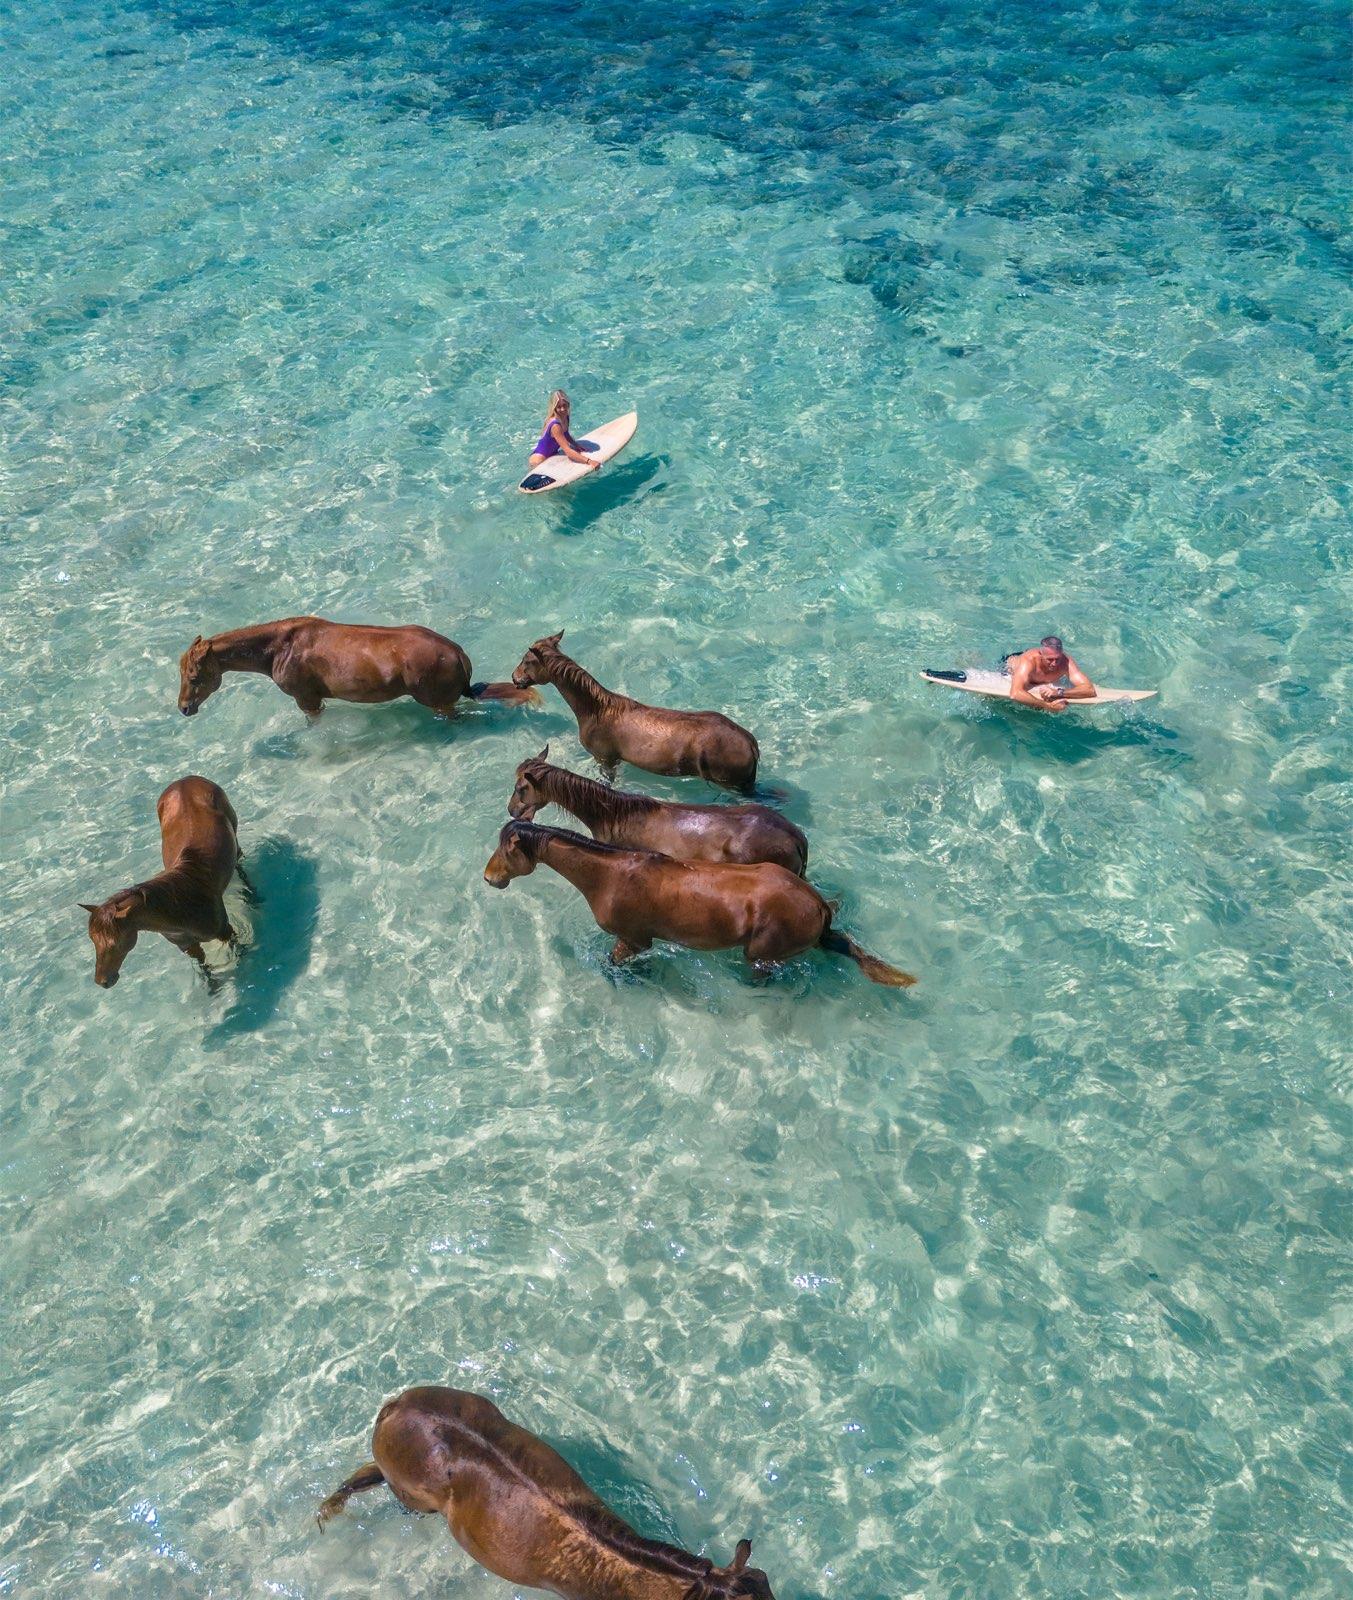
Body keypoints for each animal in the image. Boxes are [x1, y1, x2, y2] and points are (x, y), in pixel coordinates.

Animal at [80, 776, 243, 988]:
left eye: (114, 944)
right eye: (93, 940)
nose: (102, 981)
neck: (180, 908)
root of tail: (185, 779)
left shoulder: (225, 931)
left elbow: (239, 950)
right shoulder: (188, 946)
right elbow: (204, 967)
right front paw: (213, 988)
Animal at [178, 617, 539, 719]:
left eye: (194, 676)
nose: (183, 707)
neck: (279, 647)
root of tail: (457, 653)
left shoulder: (307, 699)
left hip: (437, 701)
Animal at [483, 821, 915, 985]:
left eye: (507, 850)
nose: (489, 878)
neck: (610, 874)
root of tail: (819, 905)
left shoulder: (633, 939)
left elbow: (614, 962)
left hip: (761, 954)